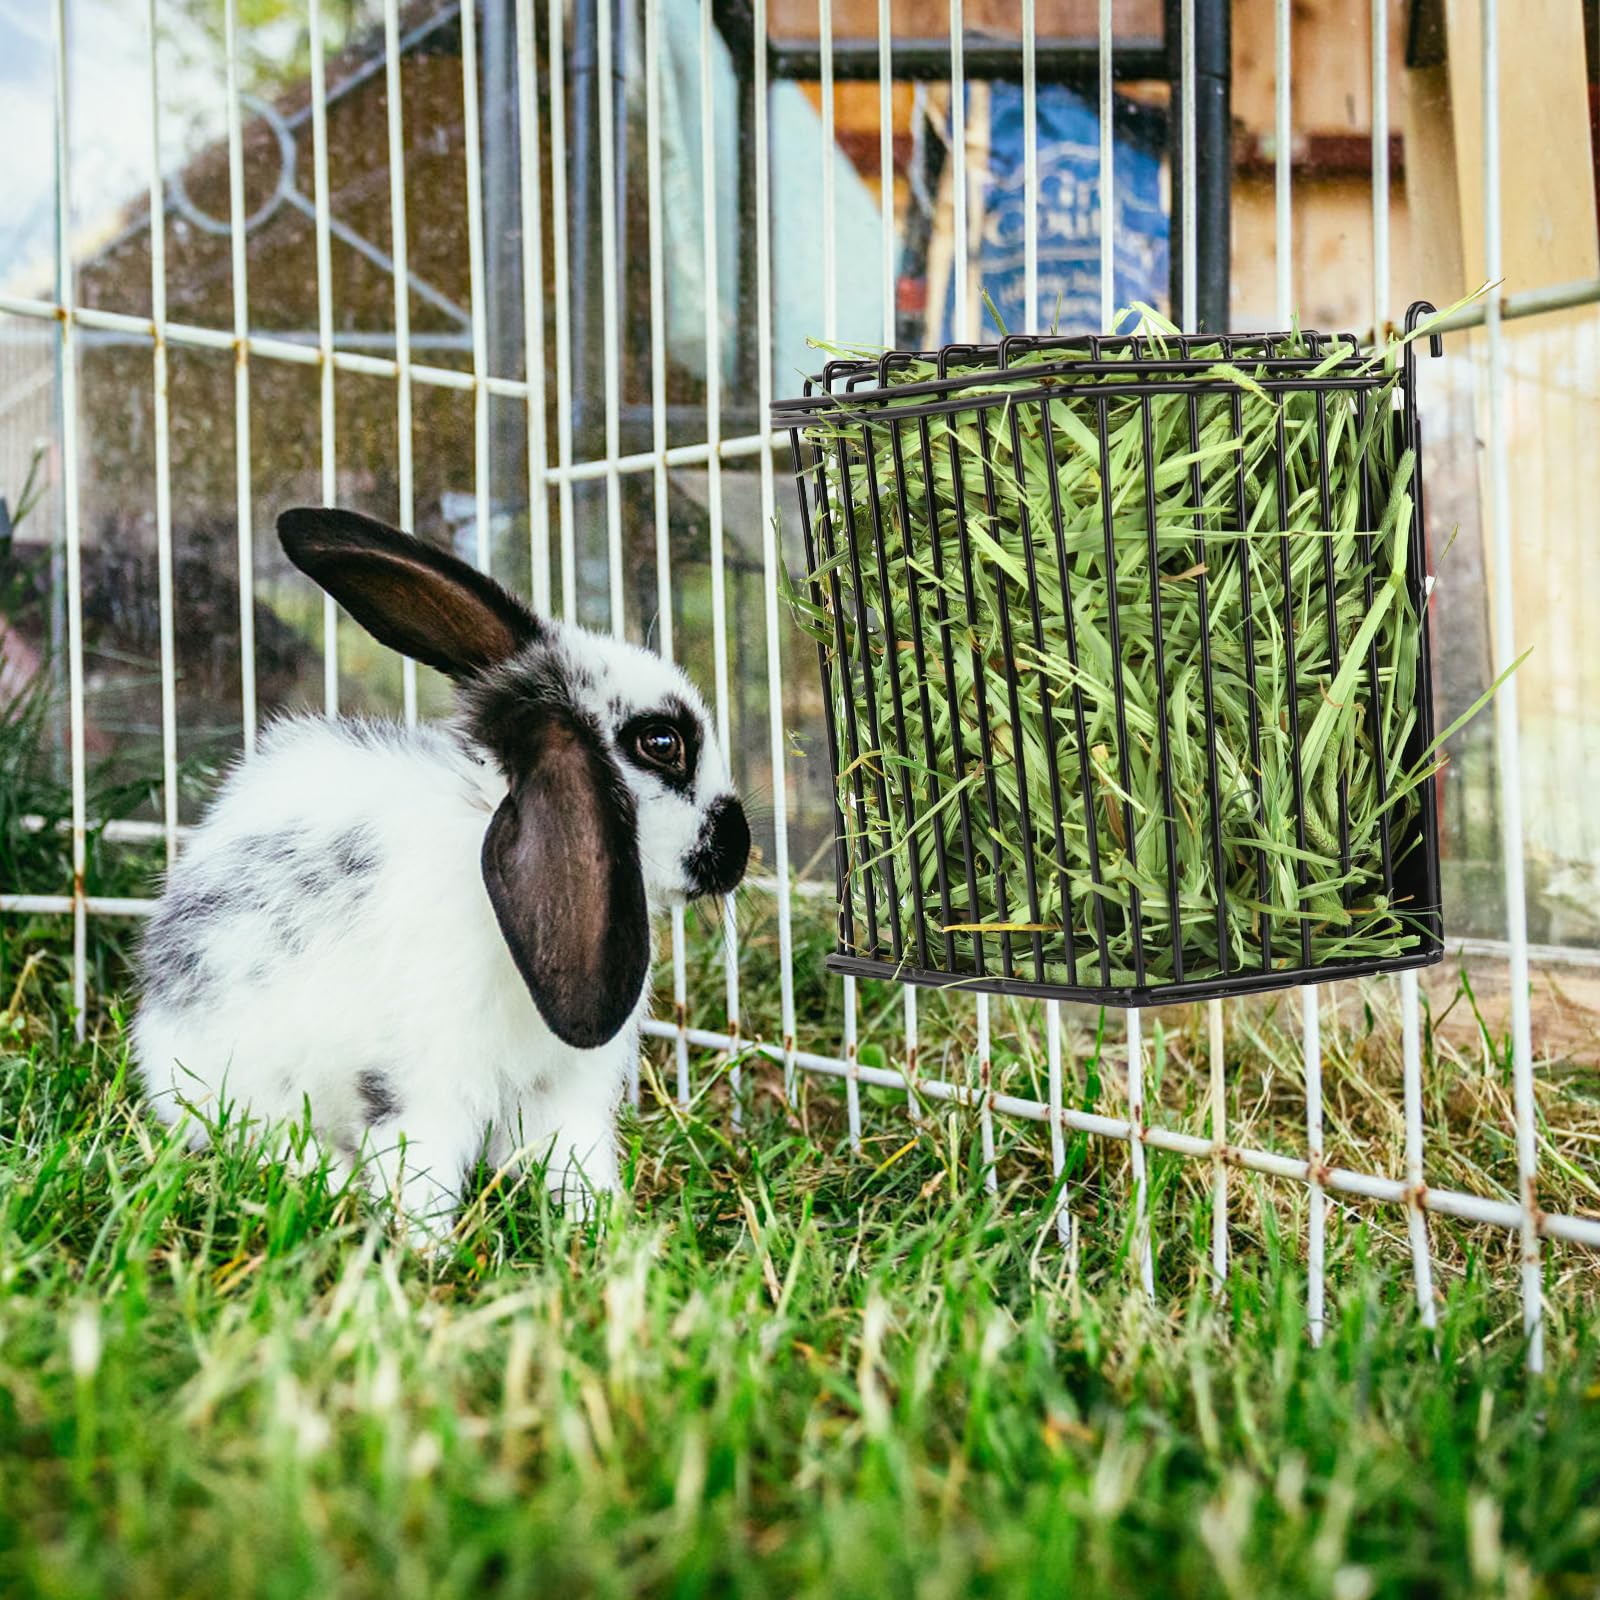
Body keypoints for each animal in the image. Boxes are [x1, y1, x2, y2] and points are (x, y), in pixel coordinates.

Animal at [131, 506, 750, 1238]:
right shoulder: (423, 1085)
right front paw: (426, 1251)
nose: (739, 846)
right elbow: (422, 1171)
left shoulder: (568, 1093)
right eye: (662, 744)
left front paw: (604, 1235)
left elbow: (577, 1164)